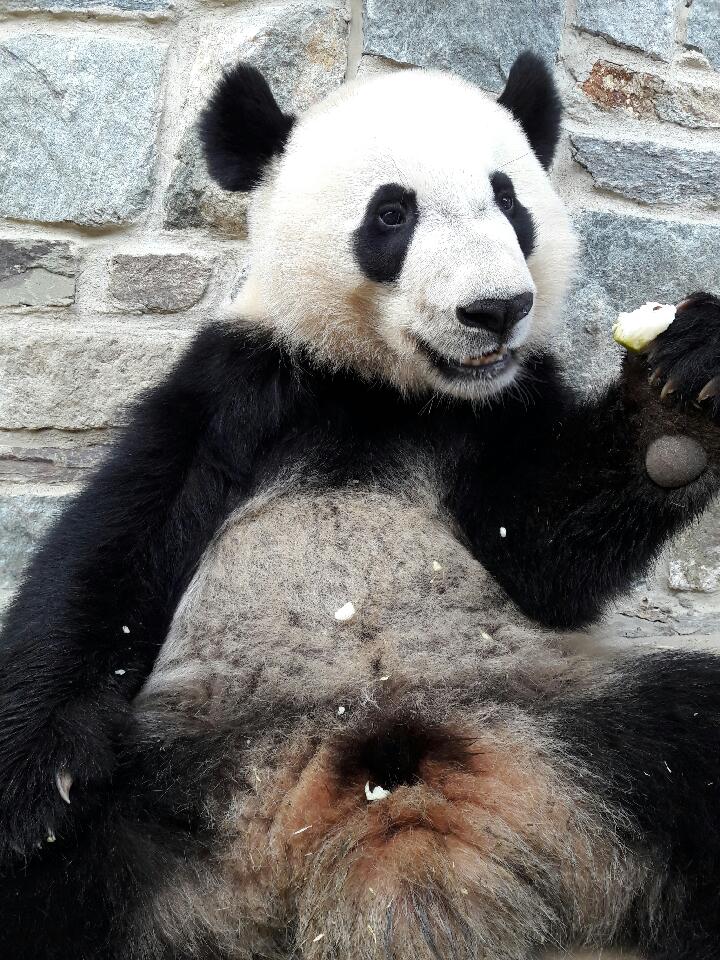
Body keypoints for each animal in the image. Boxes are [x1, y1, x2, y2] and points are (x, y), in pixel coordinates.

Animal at [1, 50, 720, 960]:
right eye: (392, 213)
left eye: (509, 201)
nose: (497, 310)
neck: (388, 388)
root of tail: (396, 840)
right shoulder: (242, 385)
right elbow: (112, 552)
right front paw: (38, 785)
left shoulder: (504, 407)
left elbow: (549, 556)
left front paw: (682, 395)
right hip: (186, 779)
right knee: (59, 878)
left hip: (577, 723)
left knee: (692, 729)